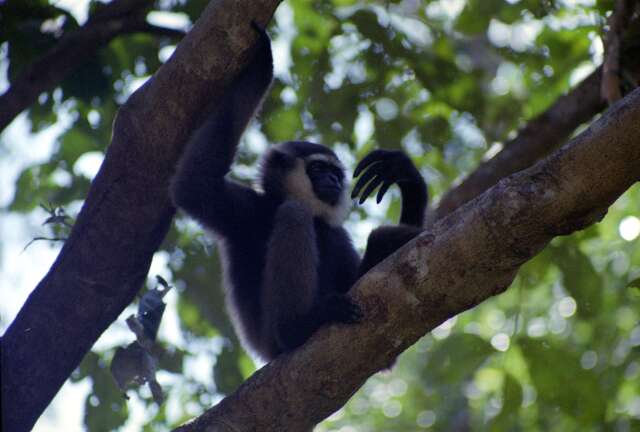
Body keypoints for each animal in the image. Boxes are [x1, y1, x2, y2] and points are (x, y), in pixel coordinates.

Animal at [170, 23, 427, 361]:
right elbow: (193, 184)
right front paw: (262, 63)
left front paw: (404, 174)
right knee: (294, 214)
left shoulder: (337, 234)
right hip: (270, 337)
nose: (332, 181)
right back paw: (297, 326)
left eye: (336, 174)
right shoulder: (245, 208)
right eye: (318, 169)